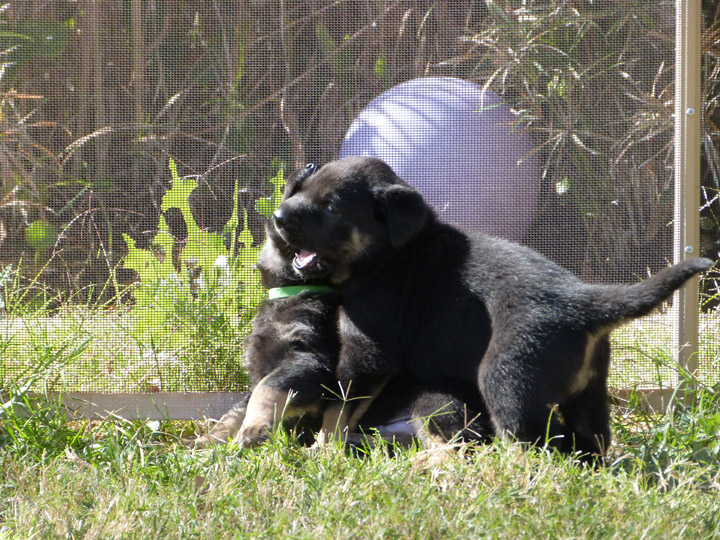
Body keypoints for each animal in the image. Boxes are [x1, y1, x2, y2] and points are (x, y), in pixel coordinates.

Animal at [272, 155, 716, 460]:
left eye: (331, 206)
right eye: (305, 189)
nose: (276, 216)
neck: (390, 253)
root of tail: (583, 305)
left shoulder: (367, 351)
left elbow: (339, 408)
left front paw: (322, 450)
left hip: (507, 378)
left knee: (532, 446)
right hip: (589, 392)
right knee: (591, 443)